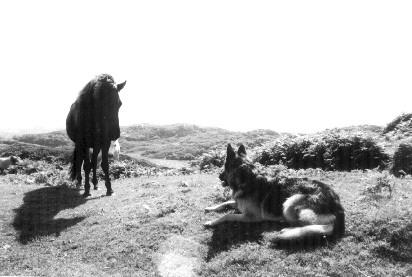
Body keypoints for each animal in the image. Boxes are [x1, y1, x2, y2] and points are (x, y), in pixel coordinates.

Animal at [205, 143, 344, 240]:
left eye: (223, 168)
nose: (219, 176)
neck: (248, 179)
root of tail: (338, 205)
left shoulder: (251, 217)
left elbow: (227, 215)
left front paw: (212, 222)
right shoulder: (238, 203)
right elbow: (225, 203)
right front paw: (211, 208)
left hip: (290, 203)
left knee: (322, 227)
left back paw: (287, 230)